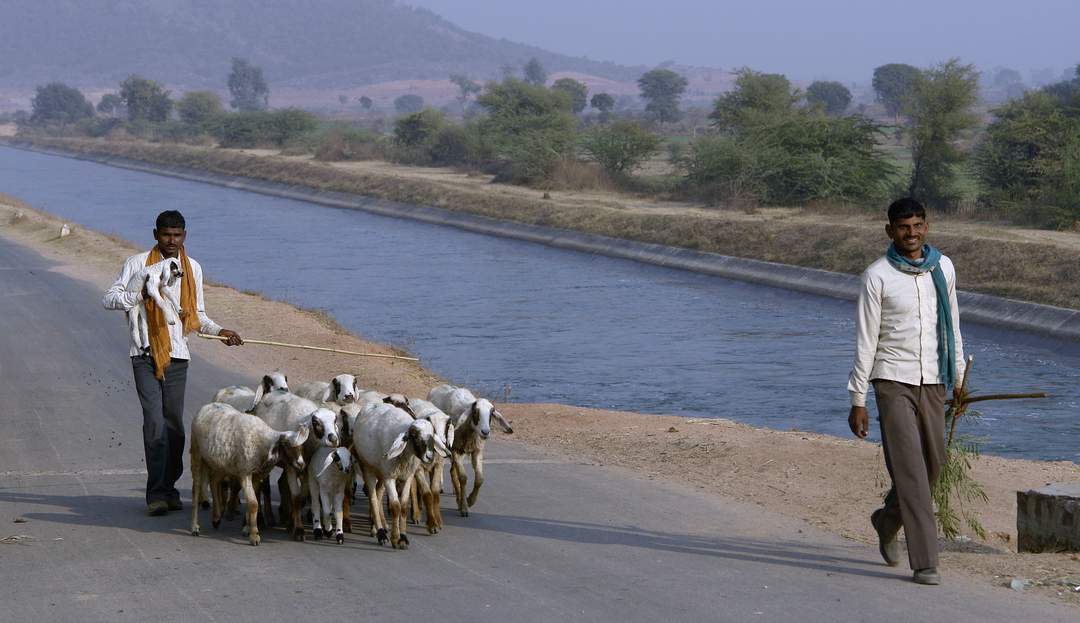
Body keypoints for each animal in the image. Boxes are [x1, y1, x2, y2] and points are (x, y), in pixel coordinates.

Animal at [187, 403, 308, 544]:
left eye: (302, 448)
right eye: (287, 446)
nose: (302, 465)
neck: (263, 443)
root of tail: (207, 406)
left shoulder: (256, 475)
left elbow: (253, 502)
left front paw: (247, 529)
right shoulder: (245, 473)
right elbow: (254, 504)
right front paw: (254, 536)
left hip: (221, 462)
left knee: (214, 481)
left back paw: (216, 518)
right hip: (196, 453)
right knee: (196, 489)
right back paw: (194, 527)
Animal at [354, 401, 447, 546]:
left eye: (432, 435)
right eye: (414, 436)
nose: (429, 457)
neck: (406, 457)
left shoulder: (408, 476)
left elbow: (403, 506)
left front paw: (403, 537)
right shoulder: (390, 477)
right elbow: (395, 507)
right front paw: (395, 538)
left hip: (381, 472)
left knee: (378, 494)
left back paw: (376, 527)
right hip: (368, 468)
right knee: (373, 498)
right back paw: (380, 533)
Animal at [427, 384, 511, 513]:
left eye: (491, 413)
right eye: (475, 412)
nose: (485, 432)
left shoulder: (476, 451)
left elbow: (479, 479)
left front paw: (470, 500)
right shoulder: (456, 450)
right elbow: (462, 477)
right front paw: (464, 505)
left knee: (452, 470)